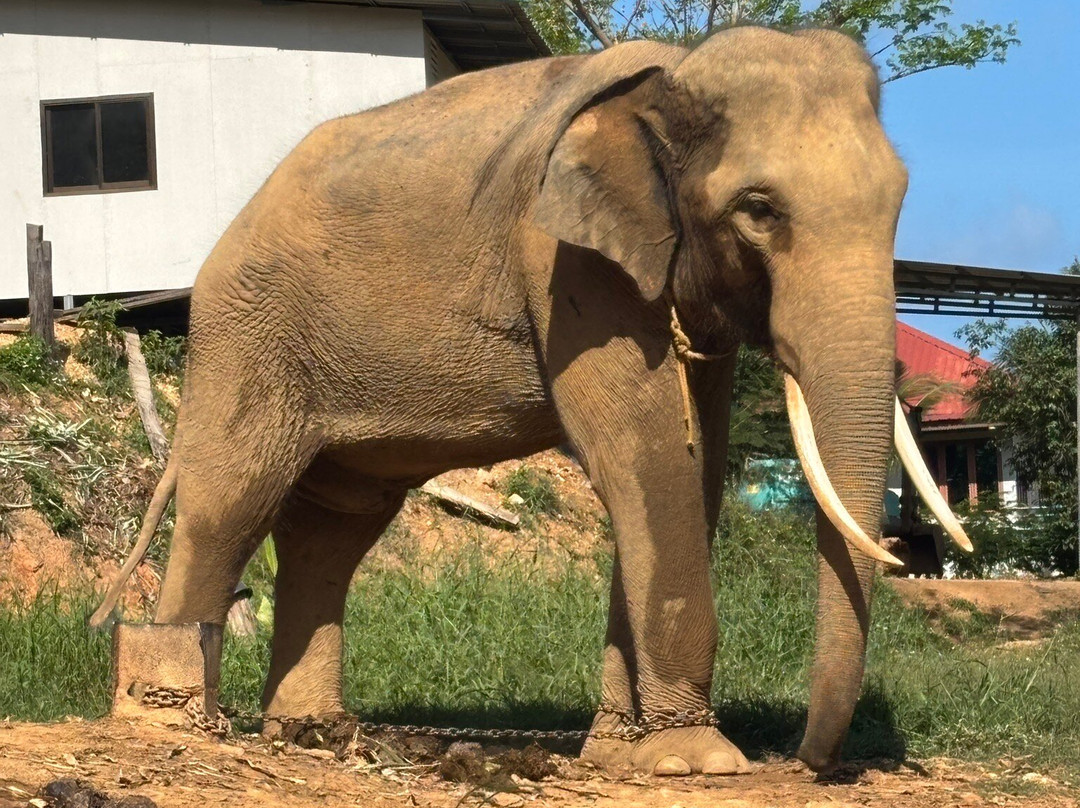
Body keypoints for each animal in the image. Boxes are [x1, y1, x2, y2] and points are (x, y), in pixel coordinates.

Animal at [93, 25, 970, 776]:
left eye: (900, 200)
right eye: (759, 210)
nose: (802, 761)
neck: (671, 75)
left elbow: (697, 467)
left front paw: (620, 753)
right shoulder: (567, 265)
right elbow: (648, 462)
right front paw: (697, 761)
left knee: (333, 526)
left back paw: (314, 735)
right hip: (249, 335)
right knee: (232, 503)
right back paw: (176, 721)